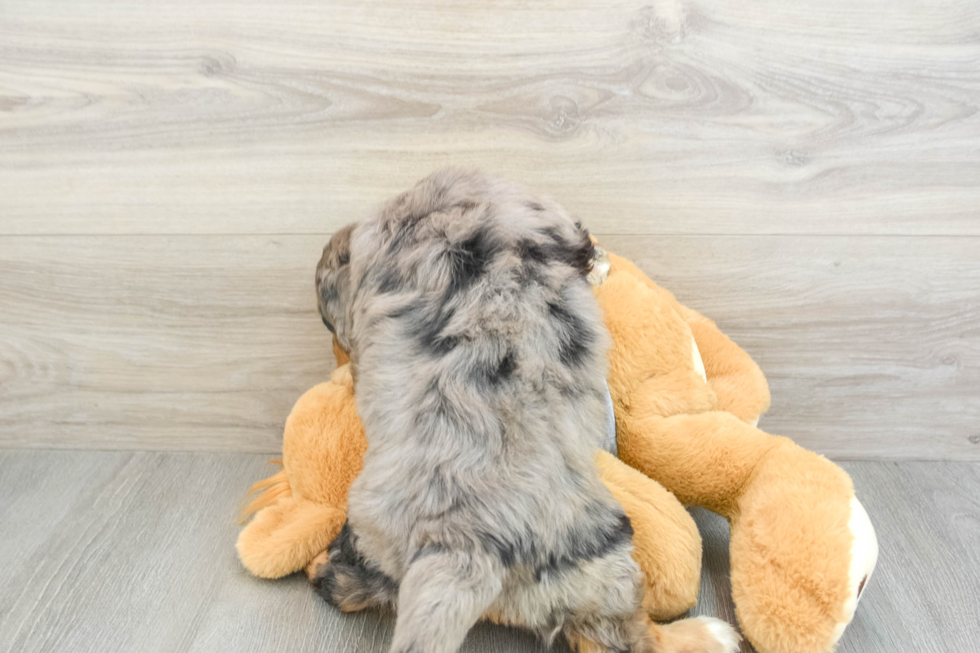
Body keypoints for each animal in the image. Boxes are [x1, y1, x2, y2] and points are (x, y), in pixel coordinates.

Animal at [314, 169, 736, 652]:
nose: (343, 357)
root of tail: (461, 547)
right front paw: (599, 263)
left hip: (379, 541)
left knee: (351, 585)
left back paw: (325, 568)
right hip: (598, 563)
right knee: (628, 638)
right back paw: (709, 632)